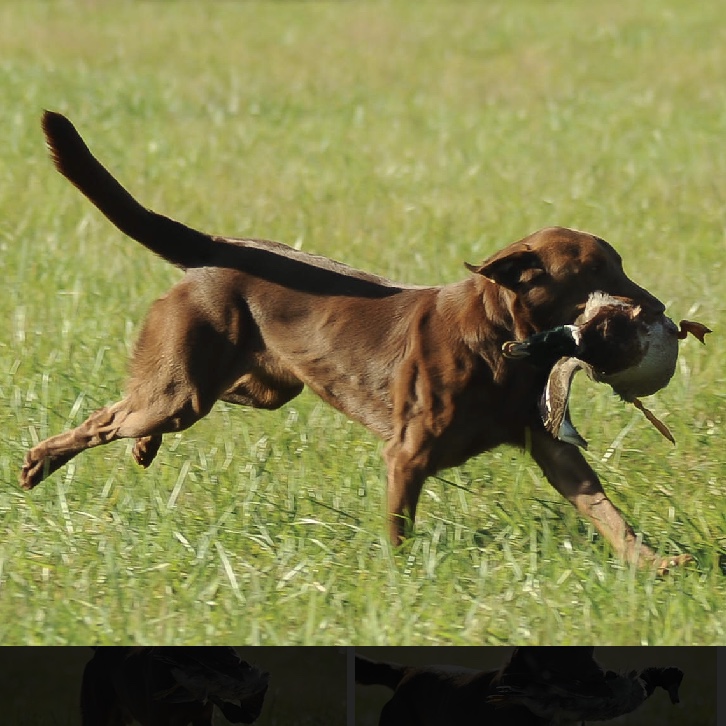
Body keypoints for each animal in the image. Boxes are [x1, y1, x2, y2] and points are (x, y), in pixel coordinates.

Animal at [22, 112, 692, 576]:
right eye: (599, 273)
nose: (658, 310)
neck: (504, 342)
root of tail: (215, 247)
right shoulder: (407, 454)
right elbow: (399, 528)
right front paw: (400, 581)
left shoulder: (551, 449)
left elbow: (605, 511)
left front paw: (655, 564)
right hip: (181, 388)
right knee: (107, 417)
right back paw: (37, 463)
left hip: (256, 385)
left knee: (146, 408)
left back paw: (141, 448)